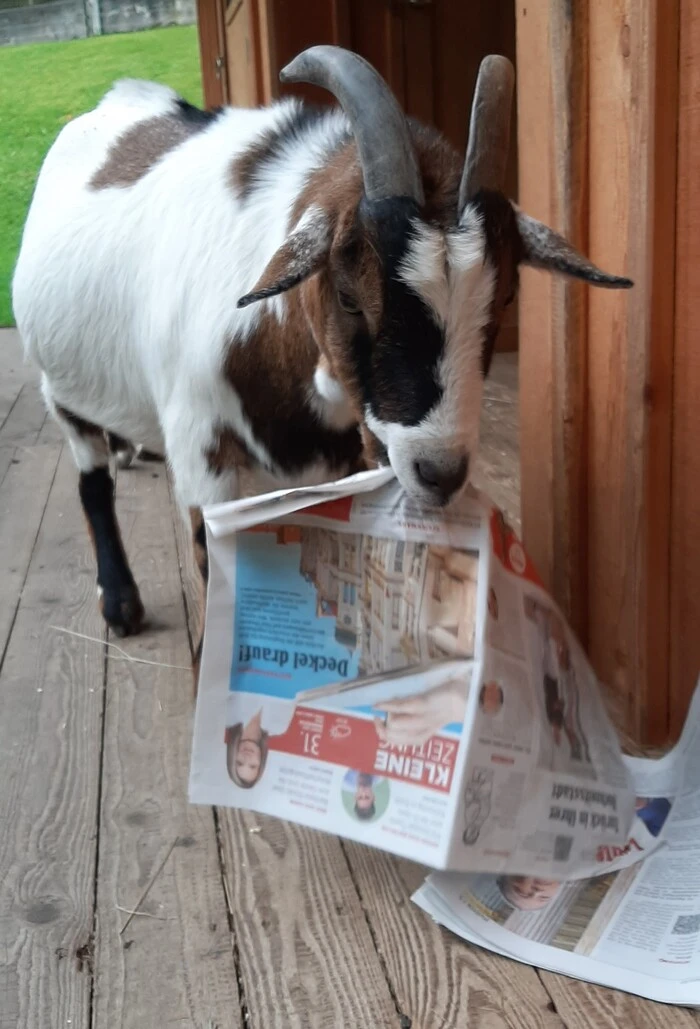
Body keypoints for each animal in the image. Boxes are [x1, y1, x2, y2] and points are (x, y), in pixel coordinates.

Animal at [12, 47, 631, 669]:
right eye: (350, 297)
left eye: (502, 301)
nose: (438, 473)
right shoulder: (202, 453)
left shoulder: (348, 458)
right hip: (57, 390)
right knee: (91, 480)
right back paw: (120, 602)